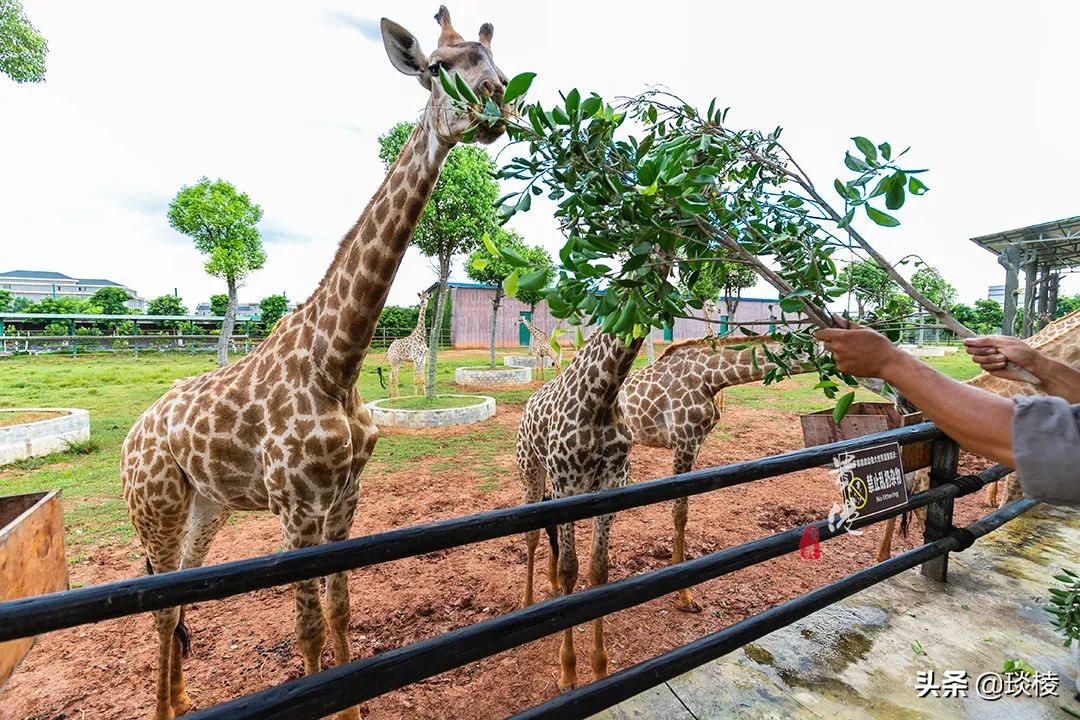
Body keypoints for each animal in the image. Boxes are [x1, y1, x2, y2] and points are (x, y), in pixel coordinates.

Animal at [518, 330, 643, 690]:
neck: (604, 395)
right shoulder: (567, 485)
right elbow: (570, 570)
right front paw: (568, 672)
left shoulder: (613, 484)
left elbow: (598, 569)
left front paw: (600, 666)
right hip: (531, 471)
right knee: (532, 533)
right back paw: (527, 601)